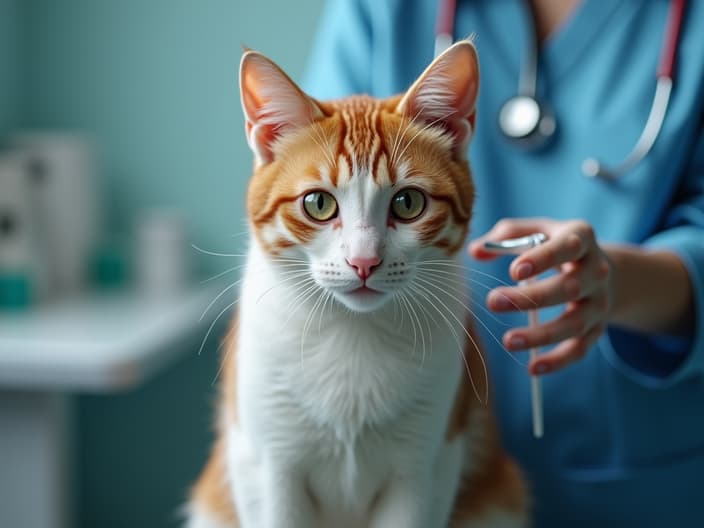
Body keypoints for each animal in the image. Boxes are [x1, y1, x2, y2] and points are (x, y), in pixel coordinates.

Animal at [187, 41, 528, 528]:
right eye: (318, 203)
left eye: (408, 203)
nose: (364, 261)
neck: (352, 333)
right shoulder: (269, 468)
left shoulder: (423, 469)